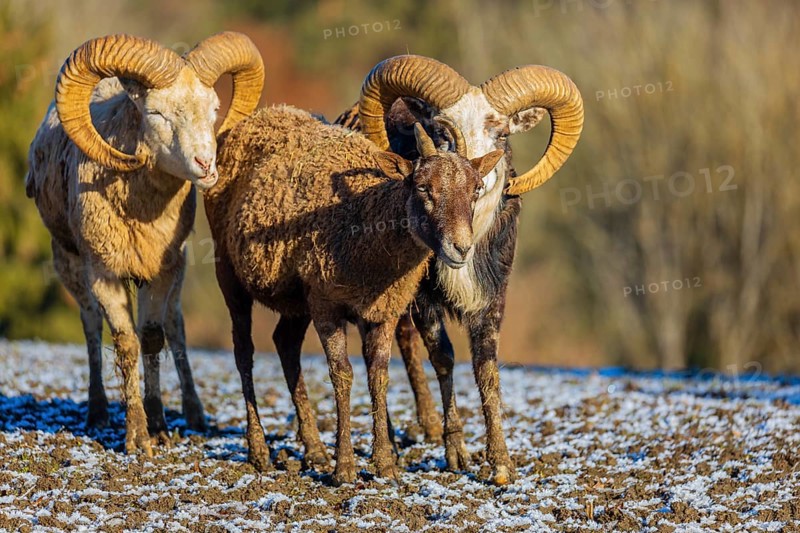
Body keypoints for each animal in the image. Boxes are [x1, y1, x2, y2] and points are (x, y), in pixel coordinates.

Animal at [25, 32, 264, 456]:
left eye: (214, 107)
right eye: (156, 114)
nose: (206, 165)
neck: (140, 212)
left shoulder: (163, 269)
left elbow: (152, 338)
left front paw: (159, 425)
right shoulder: (103, 274)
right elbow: (124, 343)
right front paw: (137, 438)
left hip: (177, 274)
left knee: (176, 326)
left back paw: (194, 414)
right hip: (69, 263)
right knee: (90, 325)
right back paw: (98, 412)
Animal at [204, 103, 503, 484]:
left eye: (476, 188)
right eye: (422, 187)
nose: (461, 248)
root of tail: (261, 115)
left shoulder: (383, 310)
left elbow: (378, 374)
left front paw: (385, 464)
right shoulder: (326, 305)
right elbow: (342, 374)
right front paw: (344, 467)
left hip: (296, 300)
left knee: (285, 344)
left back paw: (314, 450)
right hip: (229, 272)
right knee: (244, 352)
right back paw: (260, 452)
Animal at [330, 55, 584, 485]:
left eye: (501, 132)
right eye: (440, 130)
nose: (477, 179)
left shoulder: (494, 297)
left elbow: (486, 366)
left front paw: (501, 465)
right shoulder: (423, 298)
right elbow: (443, 358)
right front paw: (457, 453)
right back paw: (397, 444)